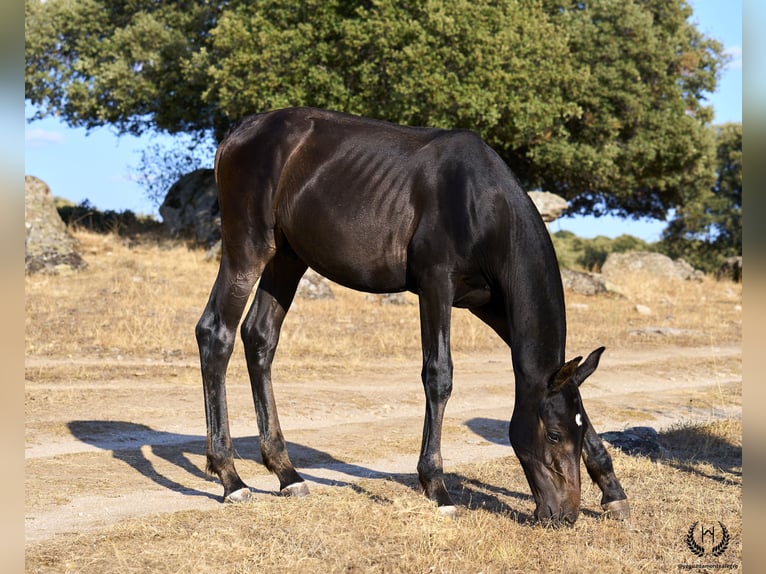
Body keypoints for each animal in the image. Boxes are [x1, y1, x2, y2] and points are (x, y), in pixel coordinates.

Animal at [196, 107, 632, 528]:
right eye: (554, 435)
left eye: (575, 429)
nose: (566, 515)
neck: (481, 203)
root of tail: (239, 133)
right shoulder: (435, 284)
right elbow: (439, 376)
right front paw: (437, 488)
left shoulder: (491, 305)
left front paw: (613, 490)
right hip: (248, 249)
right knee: (216, 333)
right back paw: (230, 477)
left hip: (287, 258)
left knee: (259, 337)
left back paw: (286, 472)